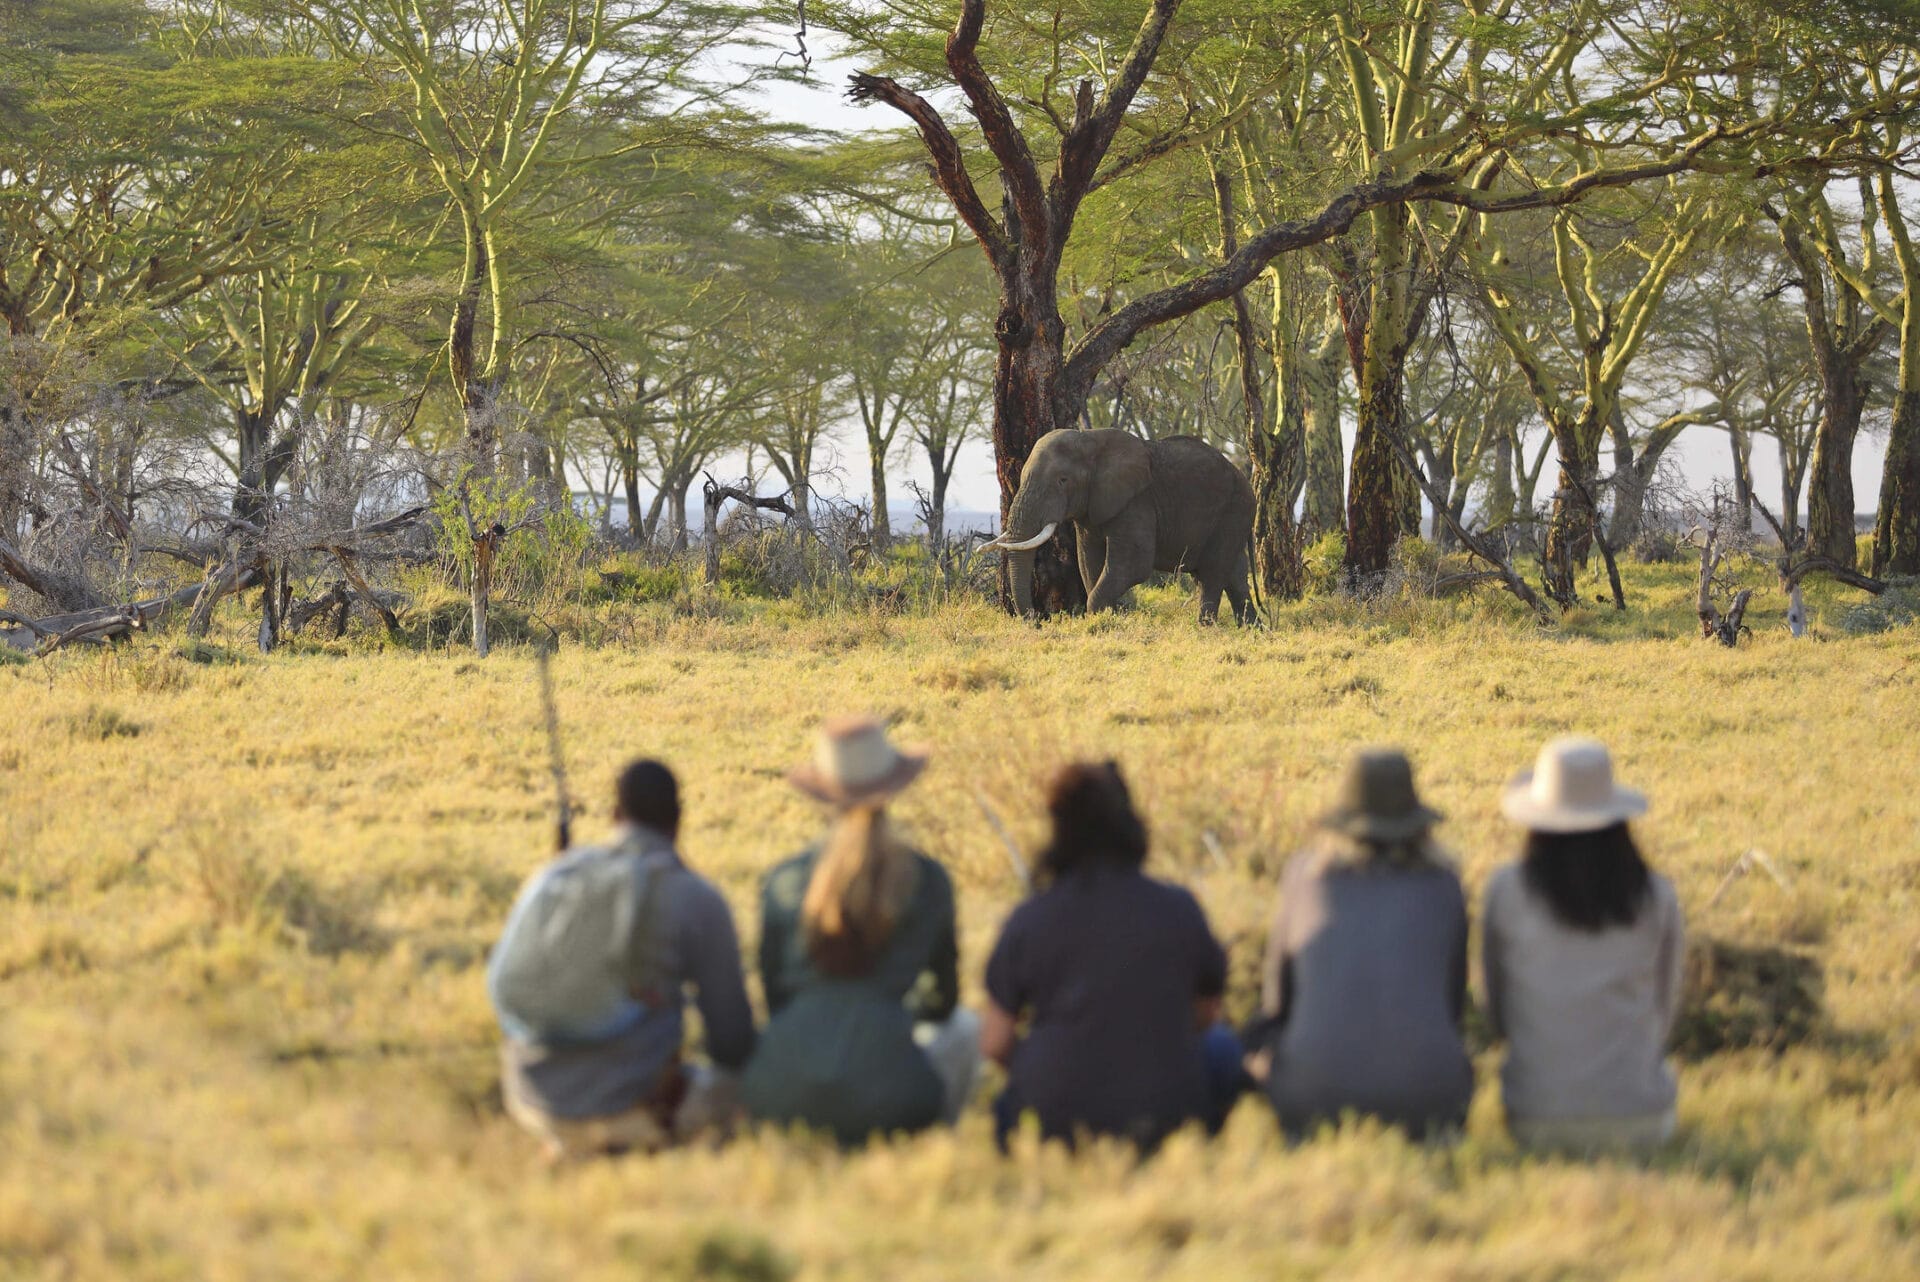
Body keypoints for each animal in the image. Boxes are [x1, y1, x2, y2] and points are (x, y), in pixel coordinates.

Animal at [977, 428, 1257, 625]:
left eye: (1062, 480)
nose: (1036, 620)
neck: (1089, 440)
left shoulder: (1137, 502)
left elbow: (1134, 564)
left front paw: (1099, 619)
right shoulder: (1090, 511)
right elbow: (1088, 562)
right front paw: (1107, 620)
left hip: (1233, 512)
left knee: (1212, 574)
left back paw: (1205, 628)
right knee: (1235, 576)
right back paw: (1251, 629)